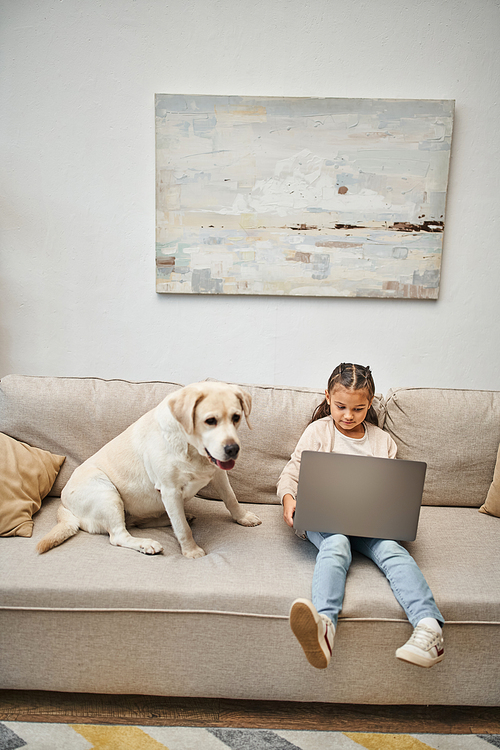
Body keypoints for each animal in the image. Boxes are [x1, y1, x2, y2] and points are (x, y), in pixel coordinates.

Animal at [37, 382, 260, 560]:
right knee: (119, 535)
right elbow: (183, 529)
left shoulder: (218, 474)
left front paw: (243, 517)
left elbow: (231, 499)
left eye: (236, 417)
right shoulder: (170, 491)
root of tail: (63, 504)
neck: (190, 448)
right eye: (210, 421)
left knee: (142, 522)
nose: (232, 449)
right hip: (107, 493)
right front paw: (191, 551)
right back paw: (146, 543)